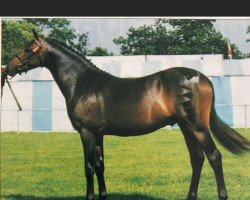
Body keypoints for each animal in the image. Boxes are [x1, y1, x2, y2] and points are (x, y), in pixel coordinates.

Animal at [2, 30, 250, 200]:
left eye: (27, 48)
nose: (8, 67)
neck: (83, 83)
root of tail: (203, 78)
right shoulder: (98, 134)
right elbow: (100, 165)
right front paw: (103, 195)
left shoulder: (86, 132)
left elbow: (88, 167)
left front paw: (90, 196)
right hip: (186, 127)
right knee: (197, 159)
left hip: (198, 127)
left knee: (214, 157)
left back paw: (222, 195)